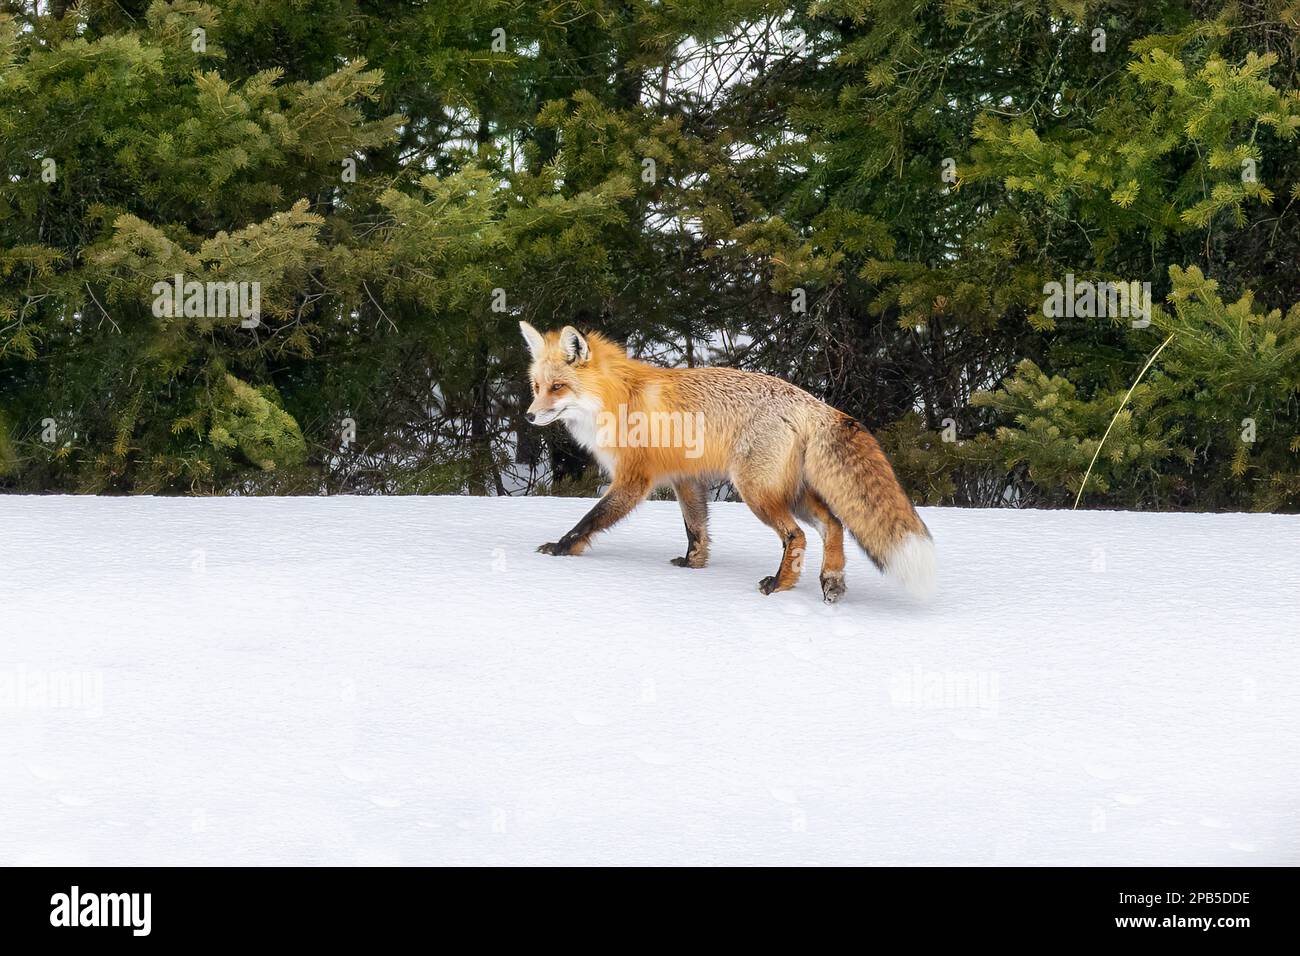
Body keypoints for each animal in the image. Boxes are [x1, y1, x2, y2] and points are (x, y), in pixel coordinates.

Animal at [517, 325, 935, 600]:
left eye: (558, 388)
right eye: (537, 387)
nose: (529, 416)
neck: (618, 398)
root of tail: (816, 404)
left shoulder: (634, 480)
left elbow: (589, 519)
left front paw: (560, 549)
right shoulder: (686, 478)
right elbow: (696, 528)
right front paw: (693, 565)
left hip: (756, 491)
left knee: (796, 535)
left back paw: (779, 585)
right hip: (792, 491)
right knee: (833, 525)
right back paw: (830, 581)